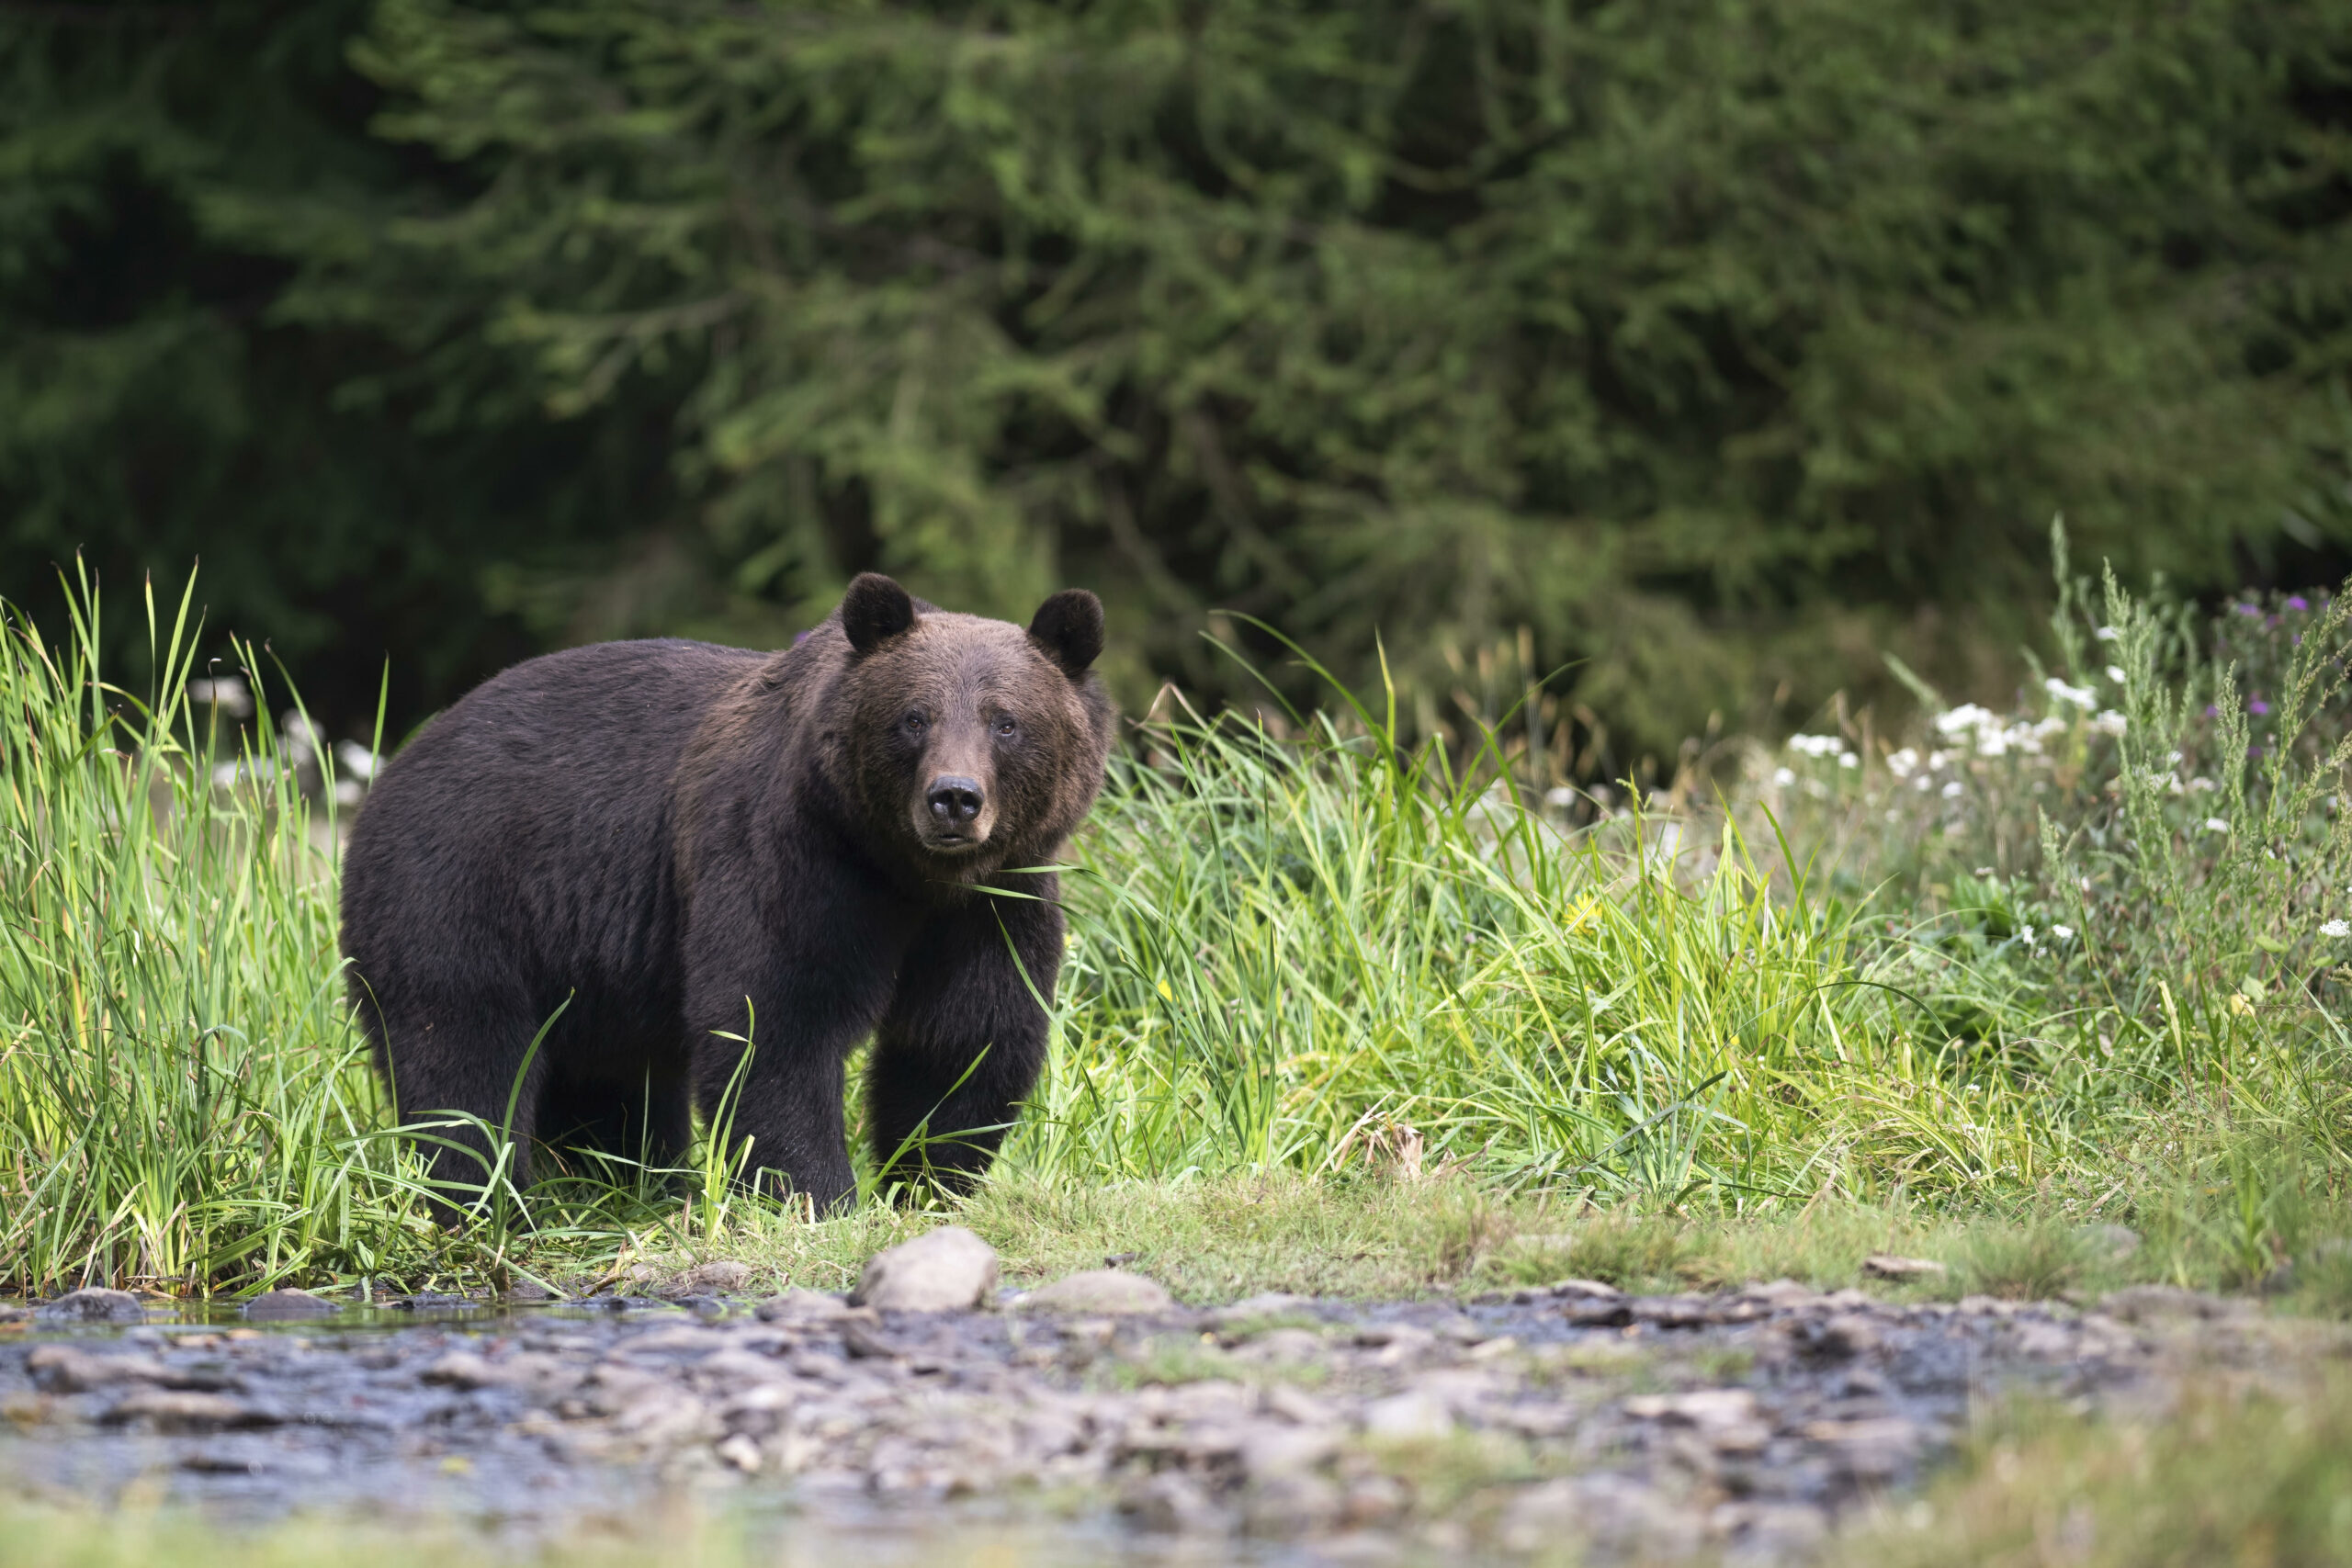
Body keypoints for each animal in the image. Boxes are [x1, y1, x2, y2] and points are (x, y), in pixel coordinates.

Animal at [343, 570, 1119, 1222]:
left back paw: (634, 1184)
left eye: (1006, 720)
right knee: (464, 1052)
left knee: (612, 1082)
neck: (908, 874)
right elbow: (774, 1019)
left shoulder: (995, 902)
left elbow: (965, 1038)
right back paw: (489, 1198)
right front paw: (818, 1196)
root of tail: (393, 769)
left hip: (591, 968)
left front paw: (927, 1182)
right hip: (456, 889)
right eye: (914, 716)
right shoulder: (796, 859)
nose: (954, 799)